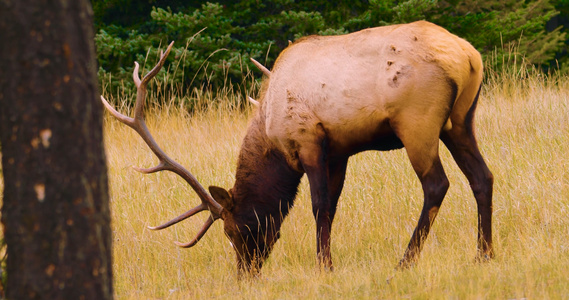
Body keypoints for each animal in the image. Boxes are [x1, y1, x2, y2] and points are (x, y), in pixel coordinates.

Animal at [102, 19, 492, 276]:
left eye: (234, 229)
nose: (246, 274)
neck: (271, 136)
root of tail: (468, 56)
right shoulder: (338, 151)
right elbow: (332, 207)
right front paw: (327, 261)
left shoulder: (308, 140)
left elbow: (320, 206)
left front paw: (324, 267)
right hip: (461, 120)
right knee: (482, 177)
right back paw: (483, 254)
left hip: (417, 122)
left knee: (437, 184)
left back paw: (406, 261)